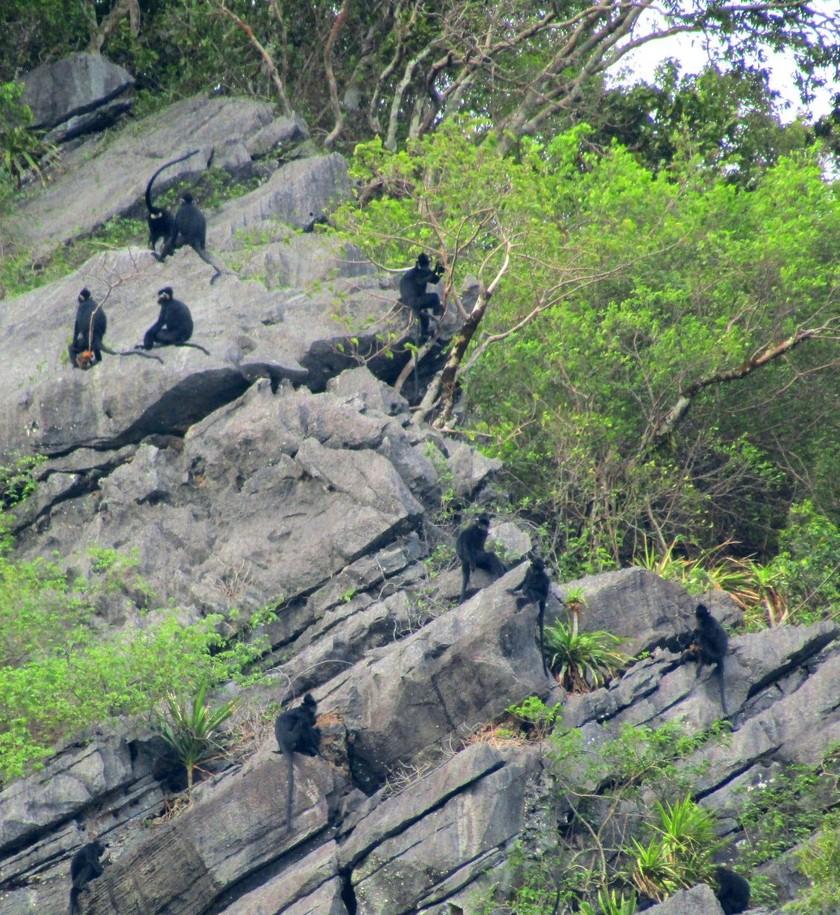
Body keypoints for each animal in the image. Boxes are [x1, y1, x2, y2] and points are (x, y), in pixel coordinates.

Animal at [274, 696, 320, 836]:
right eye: (311, 707)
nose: (314, 710)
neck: (301, 709)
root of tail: (283, 745)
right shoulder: (303, 716)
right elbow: (306, 722)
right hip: (293, 736)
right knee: (302, 726)